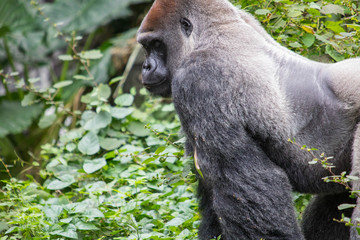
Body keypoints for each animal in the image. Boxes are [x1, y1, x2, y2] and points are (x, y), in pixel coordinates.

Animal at [136, 0, 360, 239]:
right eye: (147, 47)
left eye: (156, 44)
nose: (145, 67)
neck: (213, 32)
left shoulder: (199, 79)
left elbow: (249, 183)